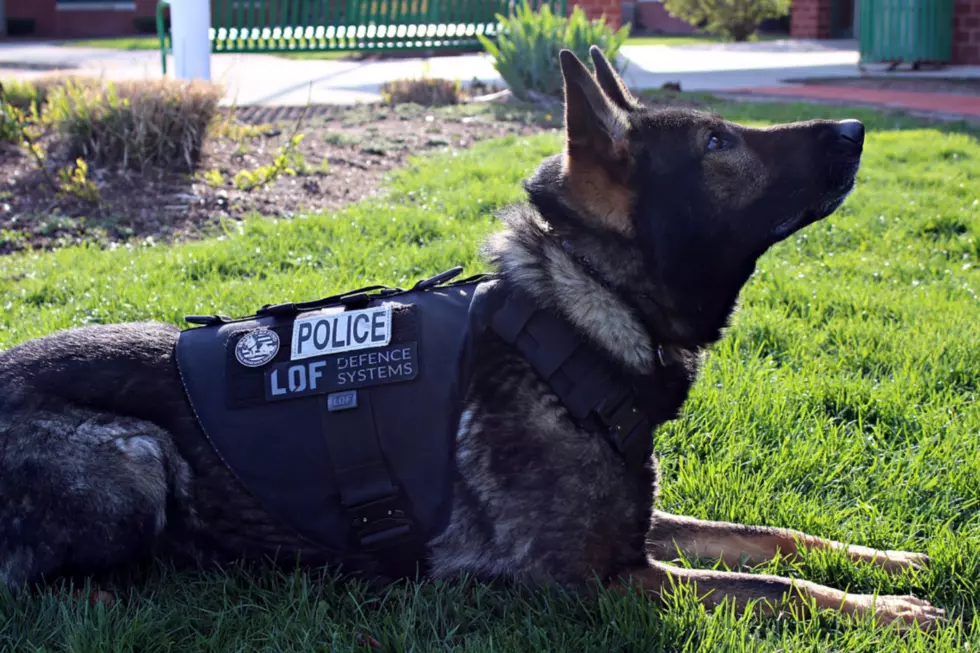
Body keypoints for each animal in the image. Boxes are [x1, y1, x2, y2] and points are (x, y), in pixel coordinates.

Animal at [1, 48, 948, 628]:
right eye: (718, 142)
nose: (855, 130)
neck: (578, 312)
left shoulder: (642, 532)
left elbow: (775, 540)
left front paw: (885, 565)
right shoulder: (603, 580)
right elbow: (767, 583)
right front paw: (887, 614)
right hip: (135, 456)